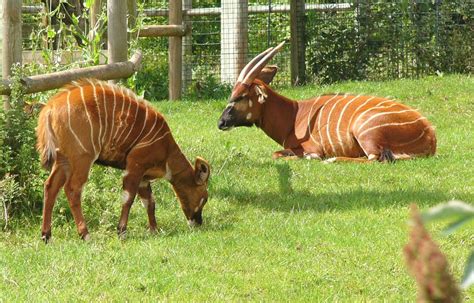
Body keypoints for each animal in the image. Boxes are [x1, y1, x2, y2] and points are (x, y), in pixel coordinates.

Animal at [38, 79, 212, 242]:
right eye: (204, 197)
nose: (198, 222)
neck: (166, 149)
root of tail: (50, 108)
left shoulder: (143, 176)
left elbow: (150, 202)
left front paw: (154, 230)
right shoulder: (135, 165)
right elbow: (128, 198)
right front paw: (121, 231)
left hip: (63, 159)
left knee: (50, 186)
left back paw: (46, 236)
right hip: (83, 157)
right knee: (72, 189)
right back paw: (85, 234)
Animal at [217, 42, 436, 164]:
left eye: (240, 96)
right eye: (232, 94)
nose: (221, 122)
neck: (294, 115)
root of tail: (430, 134)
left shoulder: (311, 148)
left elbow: (284, 155)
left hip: (365, 132)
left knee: (375, 159)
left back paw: (331, 160)